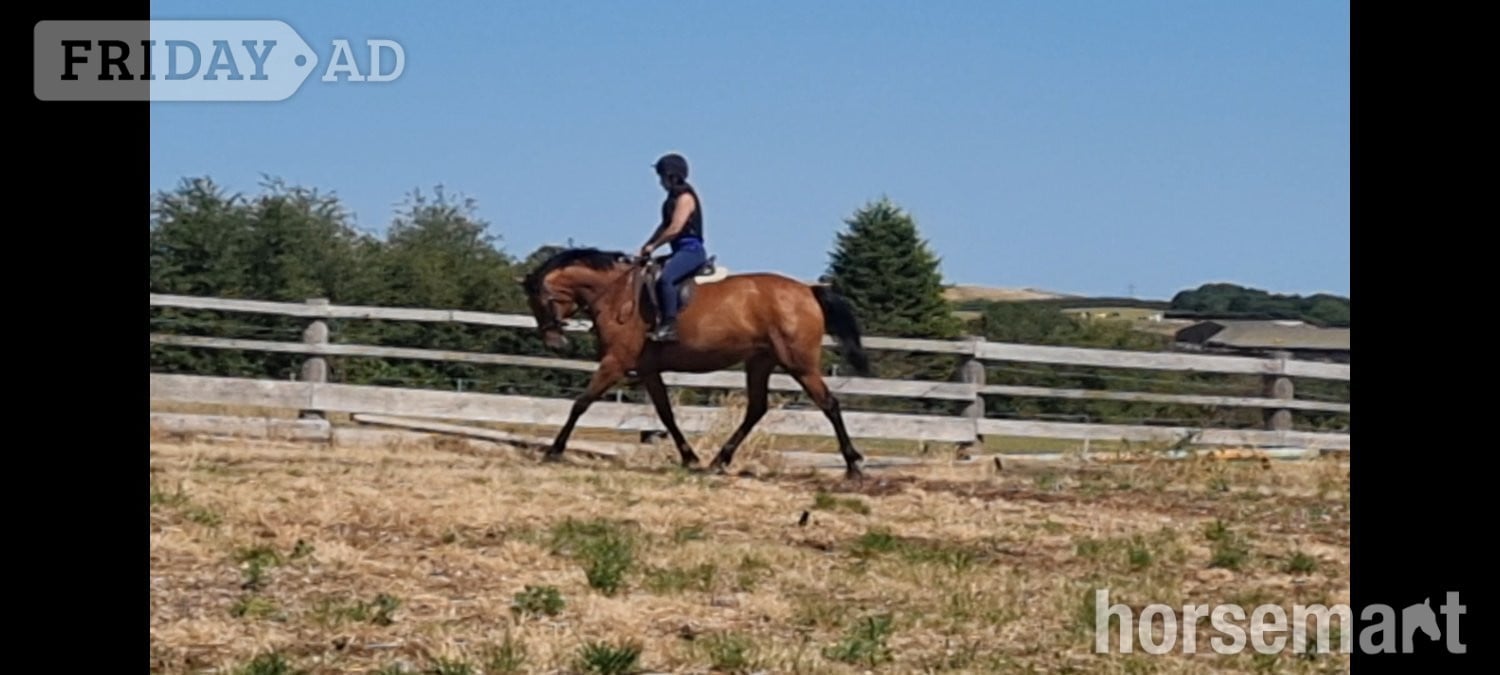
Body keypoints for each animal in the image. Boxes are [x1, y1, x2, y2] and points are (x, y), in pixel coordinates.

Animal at [518, 247, 873, 480]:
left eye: (541, 300)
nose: (554, 342)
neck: (615, 294)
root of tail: (809, 290)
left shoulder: (615, 363)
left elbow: (581, 403)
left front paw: (554, 450)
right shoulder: (648, 371)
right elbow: (666, 414)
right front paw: (689, 457)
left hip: (799, 364)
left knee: (828, 403)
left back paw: (853, 464)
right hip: (760, 361)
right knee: (756, 408)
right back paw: (719, 460)